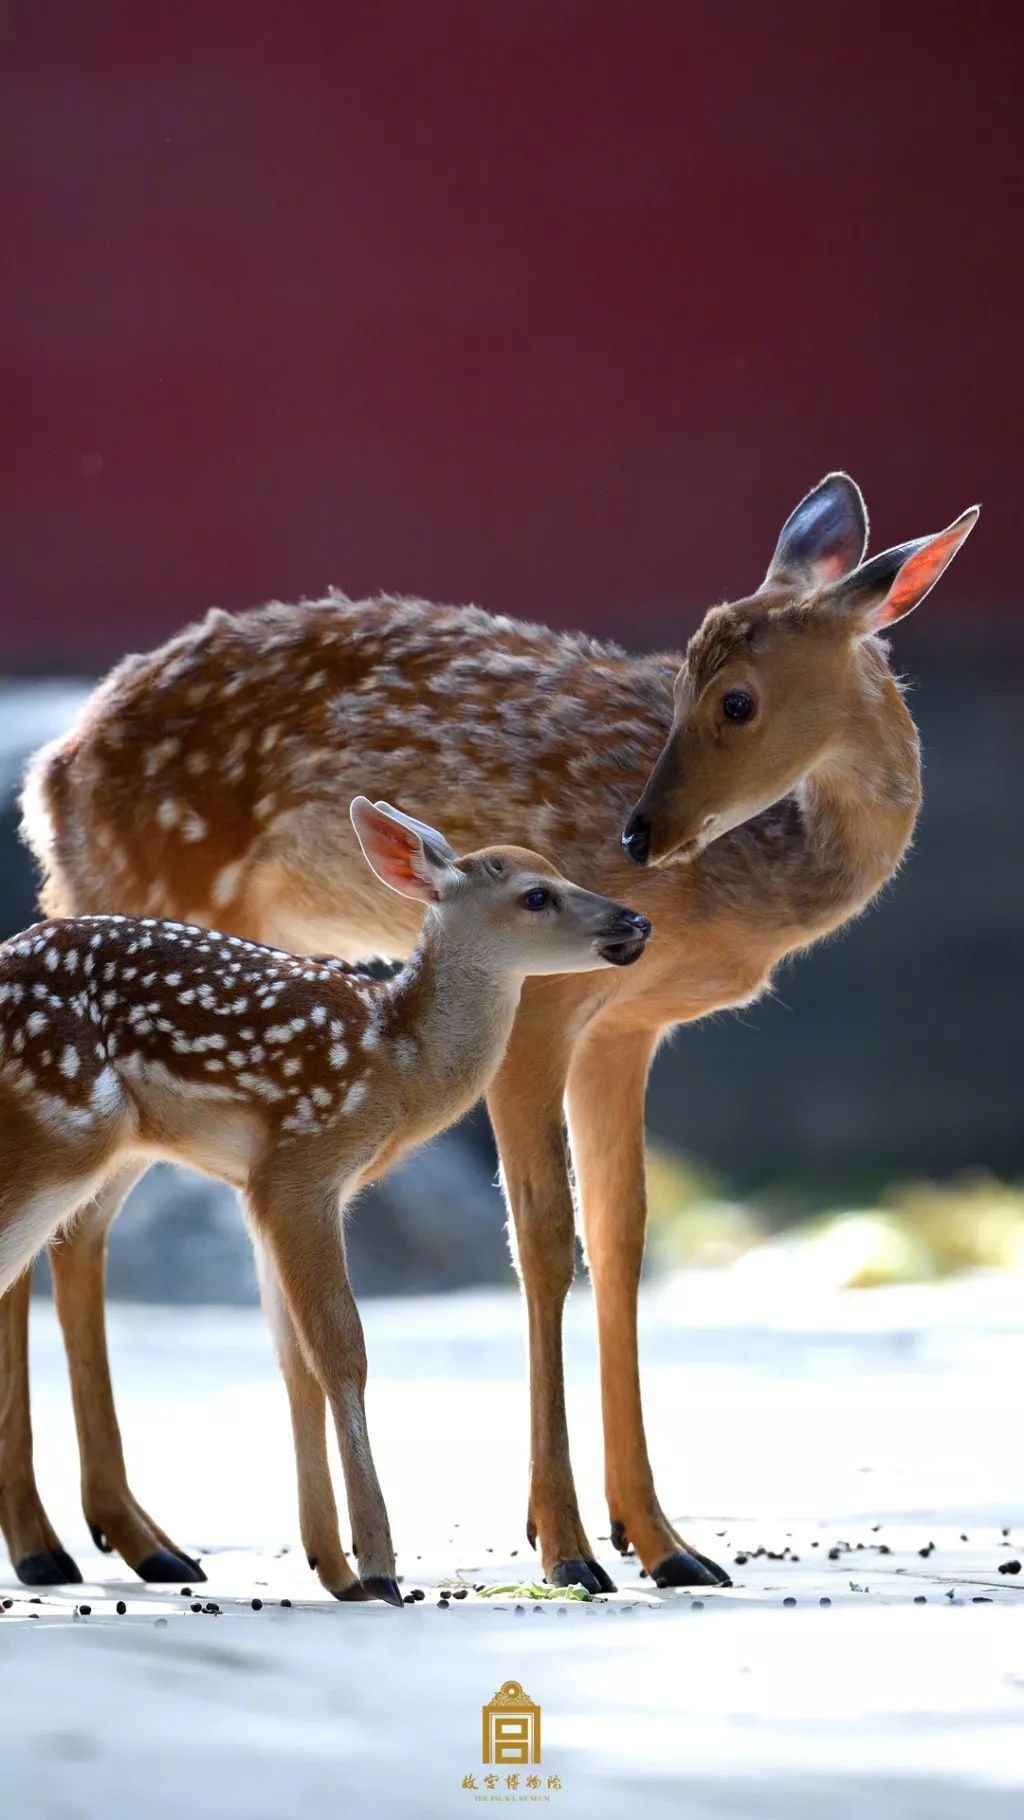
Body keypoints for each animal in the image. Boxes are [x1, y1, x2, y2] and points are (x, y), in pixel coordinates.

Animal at [0, 797, 654, 1594]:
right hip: (65, 1133)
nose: (635, 921)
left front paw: (332, 1566)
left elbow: (294, 1360)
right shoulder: (304, 1163)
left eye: (560, 871)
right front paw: (378, 1566)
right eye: (536, 895)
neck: (399, 1062)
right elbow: (342, 1349)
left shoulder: (266, 1185)